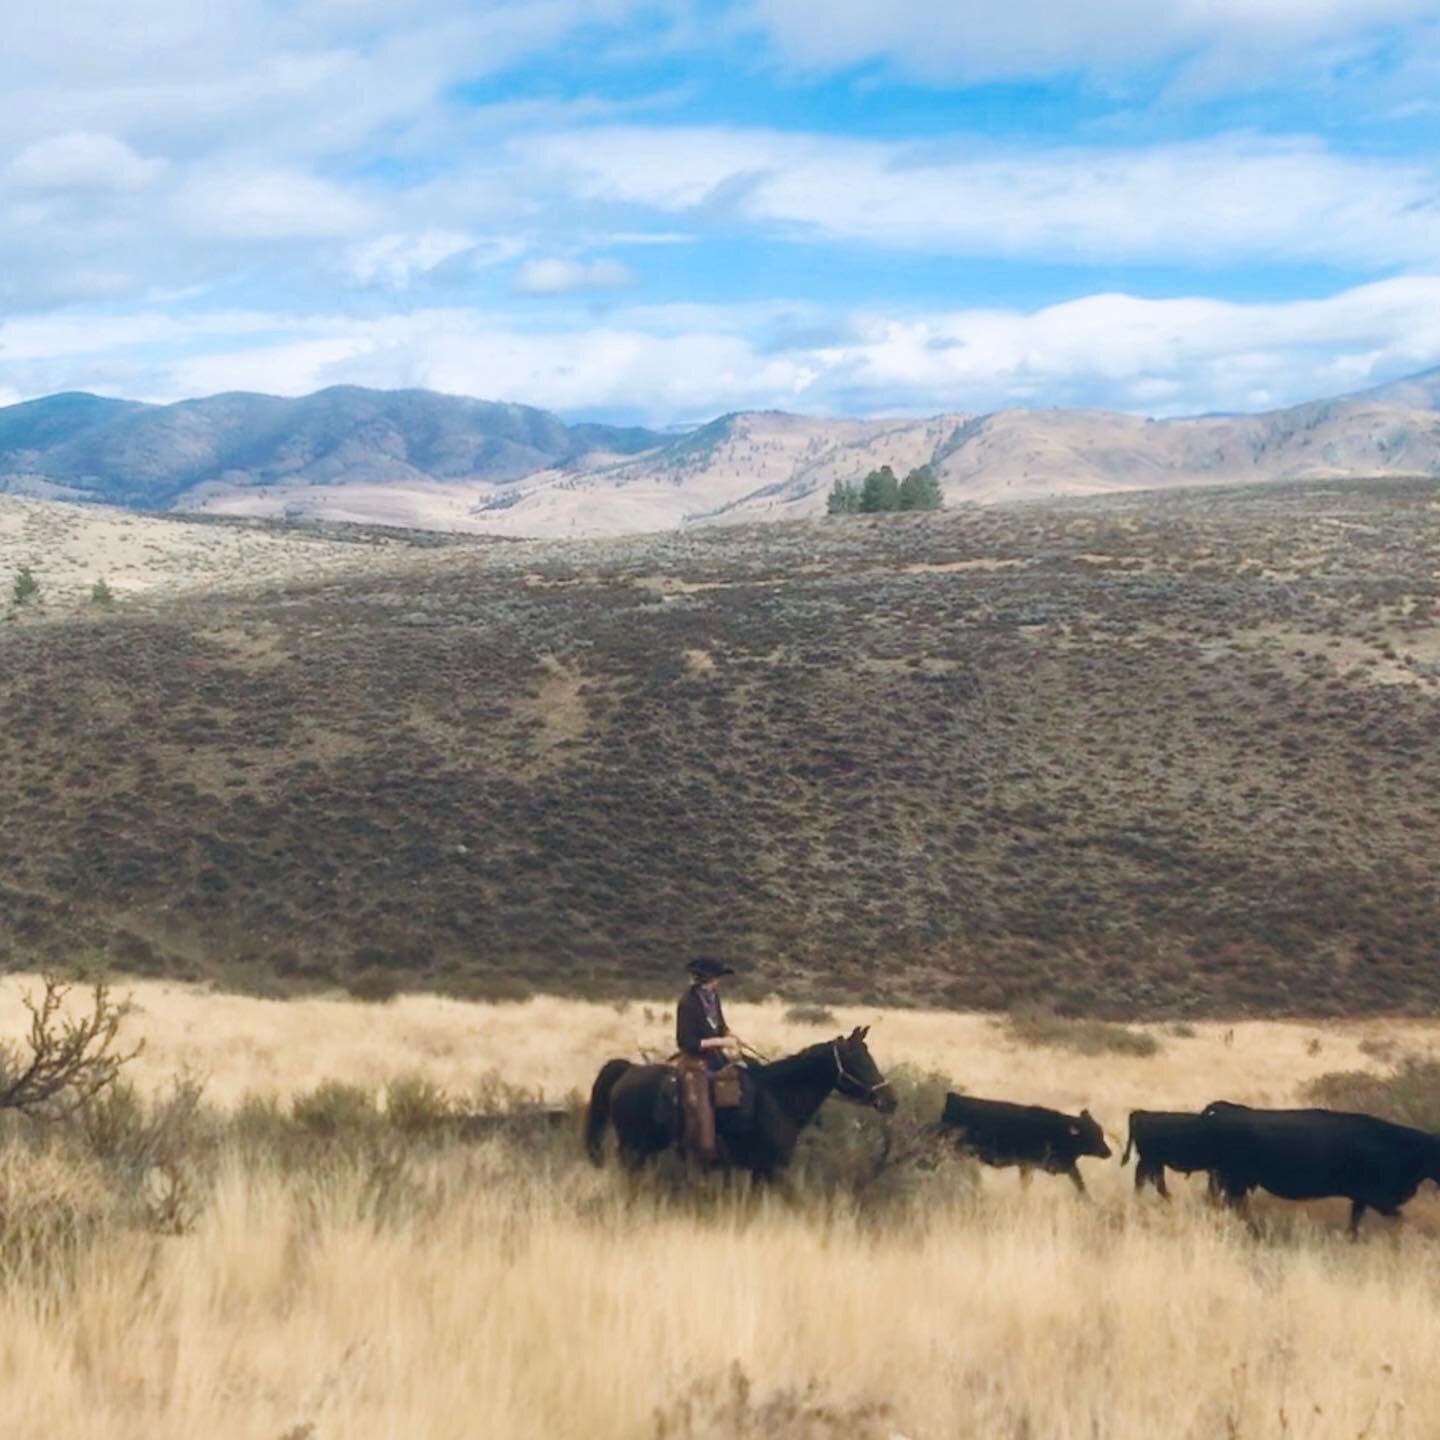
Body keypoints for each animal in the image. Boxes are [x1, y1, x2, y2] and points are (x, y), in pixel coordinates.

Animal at [578, 1025, 892, 1180]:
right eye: (858, 1059)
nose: (891, 1100)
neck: (777, 1097)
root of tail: (628, 1070)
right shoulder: (770, 1169)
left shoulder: (761, 1170)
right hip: (633, 1148)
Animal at [933, 1088, 1111, 1192]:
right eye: (1092, 1134)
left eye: (1100, 1133)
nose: (1108, 1152)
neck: (1059, 1131)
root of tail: (952, 1098)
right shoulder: (1028, 1164)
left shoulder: (1068, 1166)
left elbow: (1081, 1185)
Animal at [1198, 1100, 1440, 1238]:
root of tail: (1221, 1108)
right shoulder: (1379, 1198)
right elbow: (1400, 1219)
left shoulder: (1361, 1198)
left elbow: (1355, 1222)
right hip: (1231, 1180)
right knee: (1234, 1207)